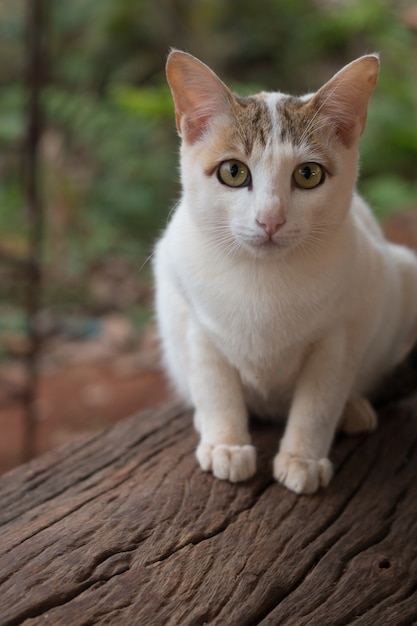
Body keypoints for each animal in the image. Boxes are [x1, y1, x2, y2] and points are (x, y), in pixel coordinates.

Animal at [152, 50, 416, 492]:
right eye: (233, 172)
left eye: (308, 174)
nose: (270, 219)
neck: (262, 277)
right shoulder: (190, 316)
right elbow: (213, 382)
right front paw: (226, 443)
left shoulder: (344, 328)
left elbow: (319, 400)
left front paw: (302, 458)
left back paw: (354, 409)